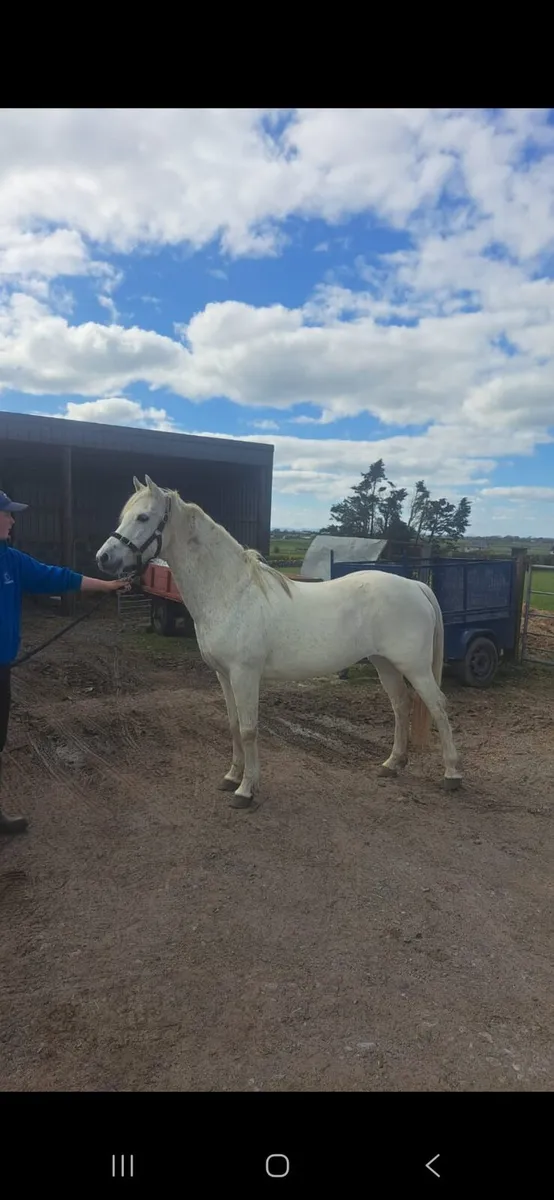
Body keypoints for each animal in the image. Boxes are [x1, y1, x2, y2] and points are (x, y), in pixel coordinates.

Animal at [96, 475, 462, 808]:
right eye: (125, 516)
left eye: (144, 517)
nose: (104, 558)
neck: (231, 592)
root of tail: (416, 586)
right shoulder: (224, 675)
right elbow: (233, 724)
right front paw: (231, 776)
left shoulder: (245, 674)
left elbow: (248, 729)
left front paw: (246, 790)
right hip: (384, 663)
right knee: (401, 705)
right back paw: (392, 764)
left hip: (414, 666)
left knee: (438, 706)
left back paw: (452, 775)